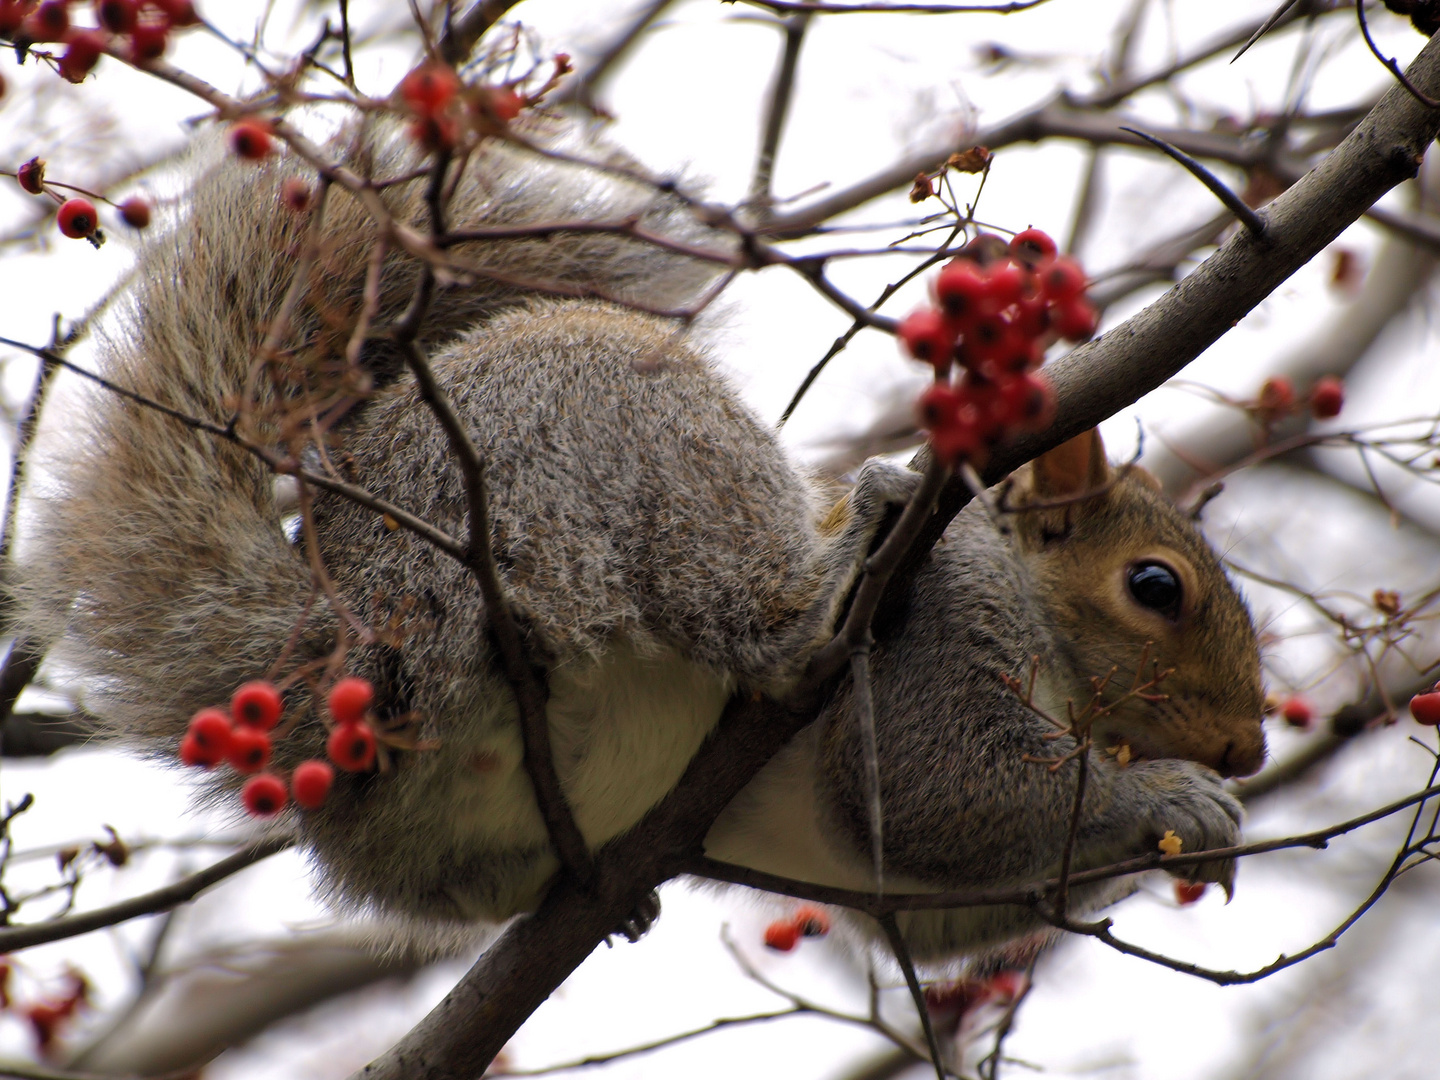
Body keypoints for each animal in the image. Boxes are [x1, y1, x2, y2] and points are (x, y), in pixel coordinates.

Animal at [16, 112, 1267, 956]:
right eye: (1156, 587)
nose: (1249, 749)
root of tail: (346, 642)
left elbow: (939, 904)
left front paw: (1196, 824)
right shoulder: (950, 607)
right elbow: (944, 787)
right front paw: (1174, 800)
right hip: (619, 449)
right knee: (749, 619)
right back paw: (830, 579)